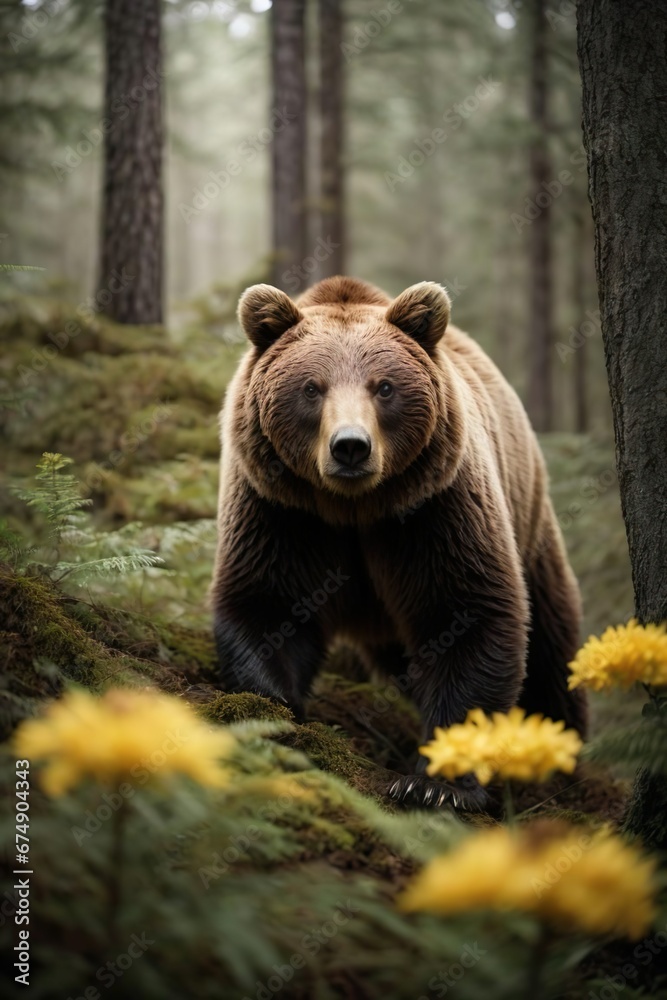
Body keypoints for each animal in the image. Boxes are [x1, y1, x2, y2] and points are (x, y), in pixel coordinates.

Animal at [211, 278, 588, 808]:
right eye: (311, 388)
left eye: (384, 386)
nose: (350, 446)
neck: (354, 508)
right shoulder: (283, 512)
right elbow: (268, 607)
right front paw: (275, 718)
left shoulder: (433, 509)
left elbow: (468, 614)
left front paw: (434, 785)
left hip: (530, 525)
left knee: (552, 650)